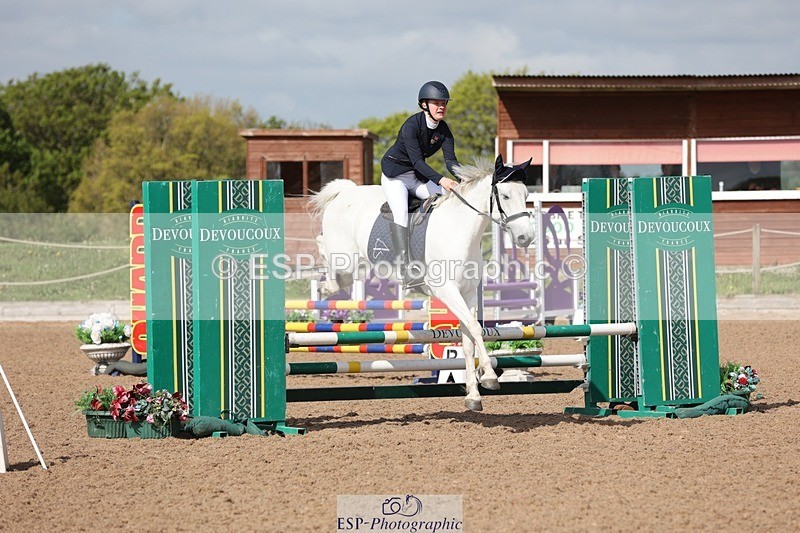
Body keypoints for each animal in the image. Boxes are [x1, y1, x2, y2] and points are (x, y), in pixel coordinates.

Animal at [308, 155, 534, 411]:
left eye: (526, 195)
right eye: (505, 196)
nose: (526, 238)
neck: (460, 230)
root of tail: (346, 191)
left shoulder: (466, 294)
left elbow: (468, 339)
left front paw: (474, 396)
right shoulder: (447, 291)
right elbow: (476, 329)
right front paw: (490, 376)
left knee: (340, 275)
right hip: (345, 257)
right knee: (323, 247)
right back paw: (323, 284)